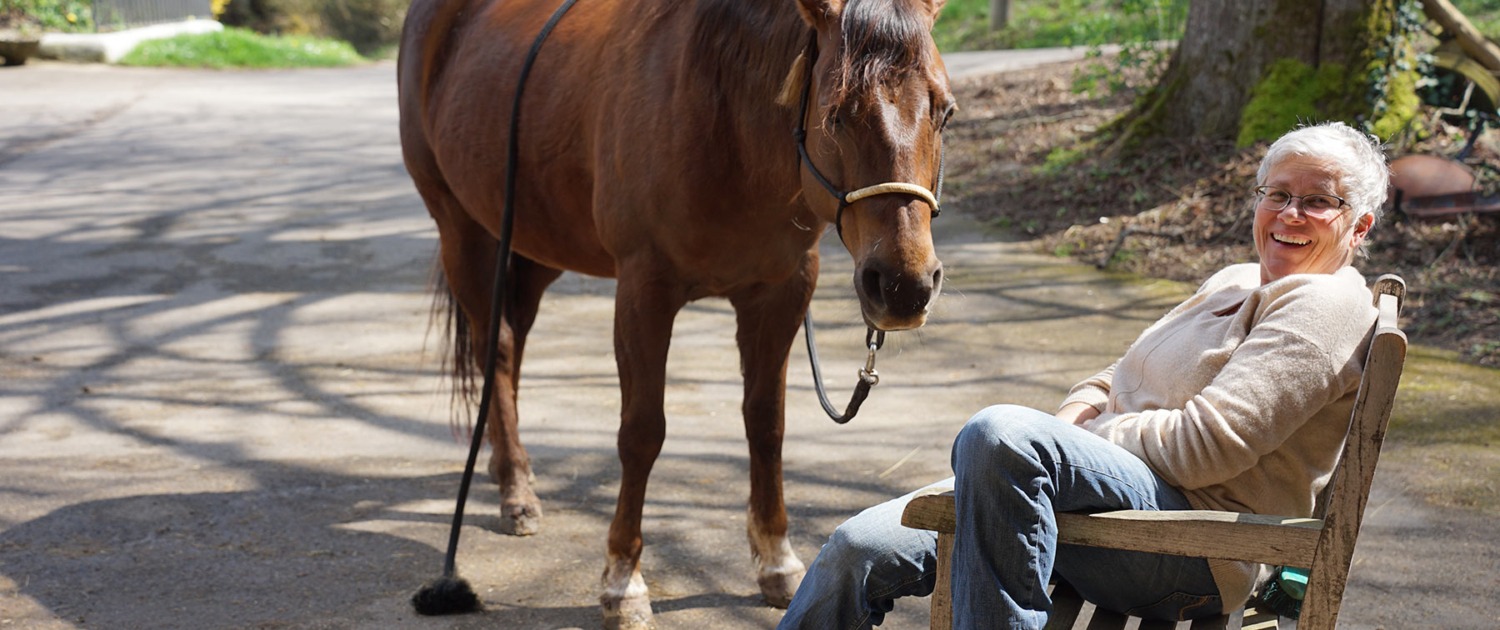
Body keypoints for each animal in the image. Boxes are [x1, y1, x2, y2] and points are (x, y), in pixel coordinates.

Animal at [402, 0, 948, 624]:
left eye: (945, 111)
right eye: (835, 114)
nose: (904, 286)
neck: (722, 119)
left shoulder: (781, 291)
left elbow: (767, 424)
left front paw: (776, 561)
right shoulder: (644, 290)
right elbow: (642, 433)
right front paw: (623, 582)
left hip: (533, 244)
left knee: (509, 345)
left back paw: (503, 471)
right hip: (464, 233)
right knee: (496, 350)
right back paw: (516, 490)